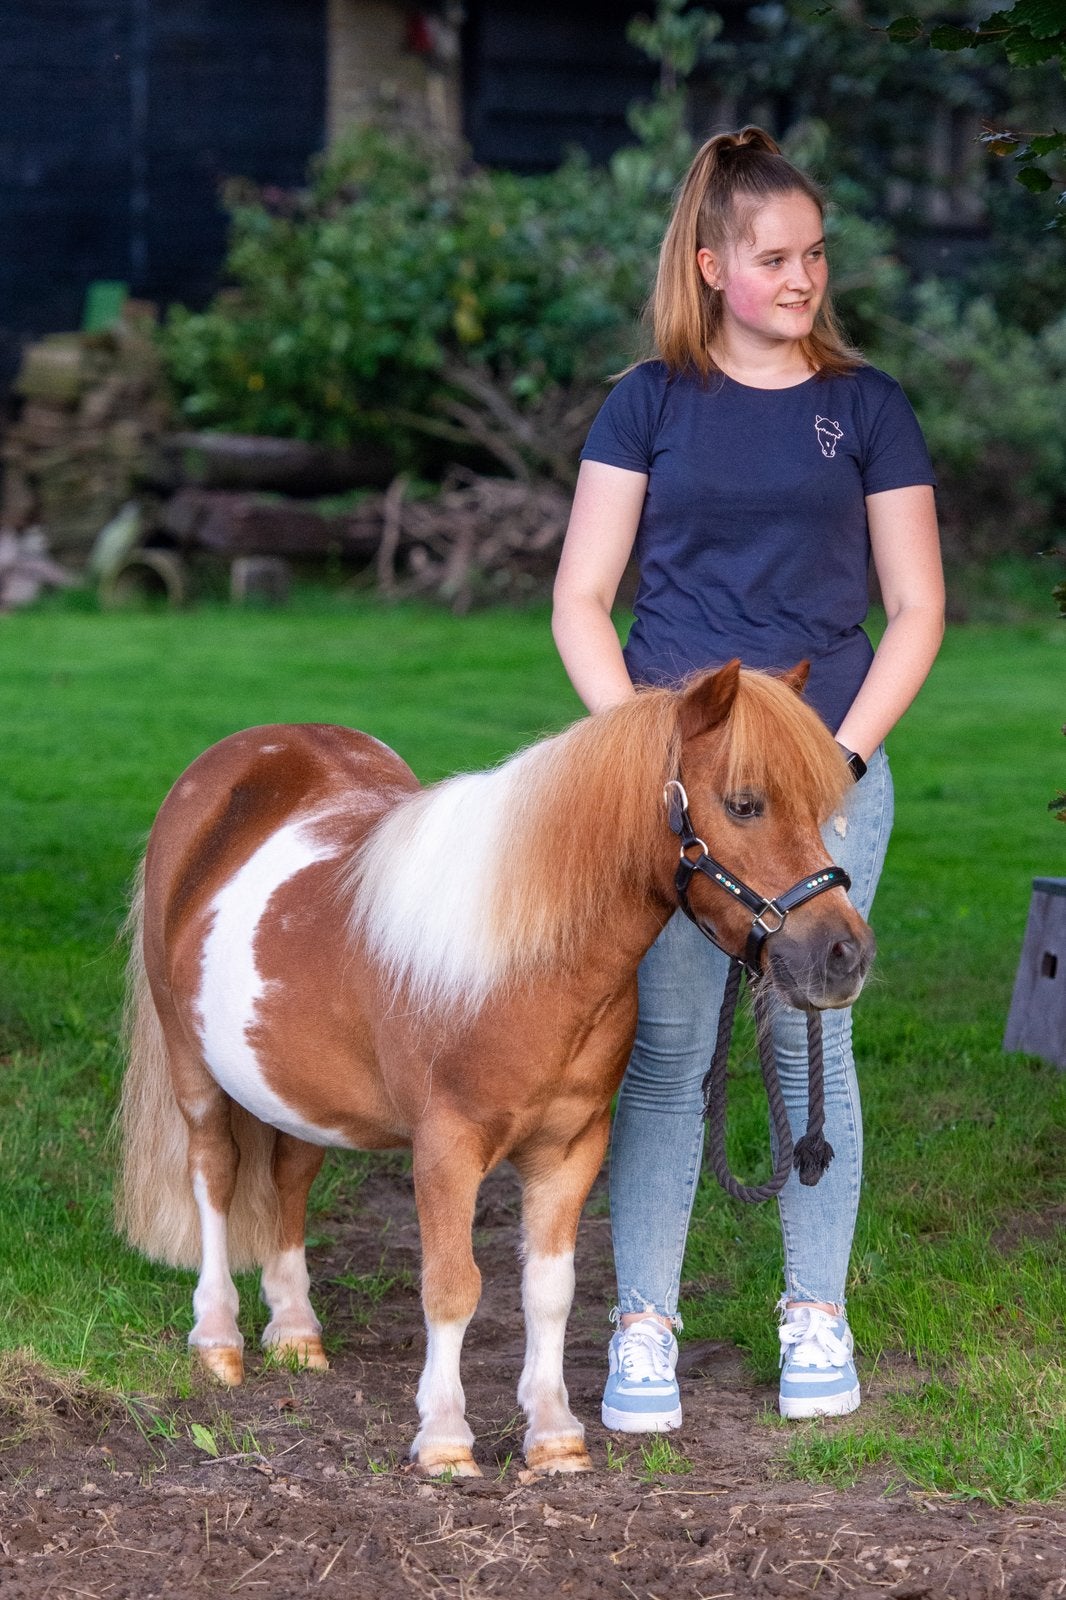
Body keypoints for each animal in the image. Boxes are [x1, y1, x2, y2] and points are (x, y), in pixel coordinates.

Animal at [116, 659, 875, 1478]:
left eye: (827, 810)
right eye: (743, 804)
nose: (844, 956)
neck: (525, 962)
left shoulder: (570, 1150)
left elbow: (548, 1292)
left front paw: (554, 1434)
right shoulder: (446, 1150)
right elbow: (454, 1289)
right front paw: (446, 1438)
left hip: (295, 1089)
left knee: (289, 1177)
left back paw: (294, 1330)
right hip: (194, 1070)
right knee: (215, 1174)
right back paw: (217, 1338)